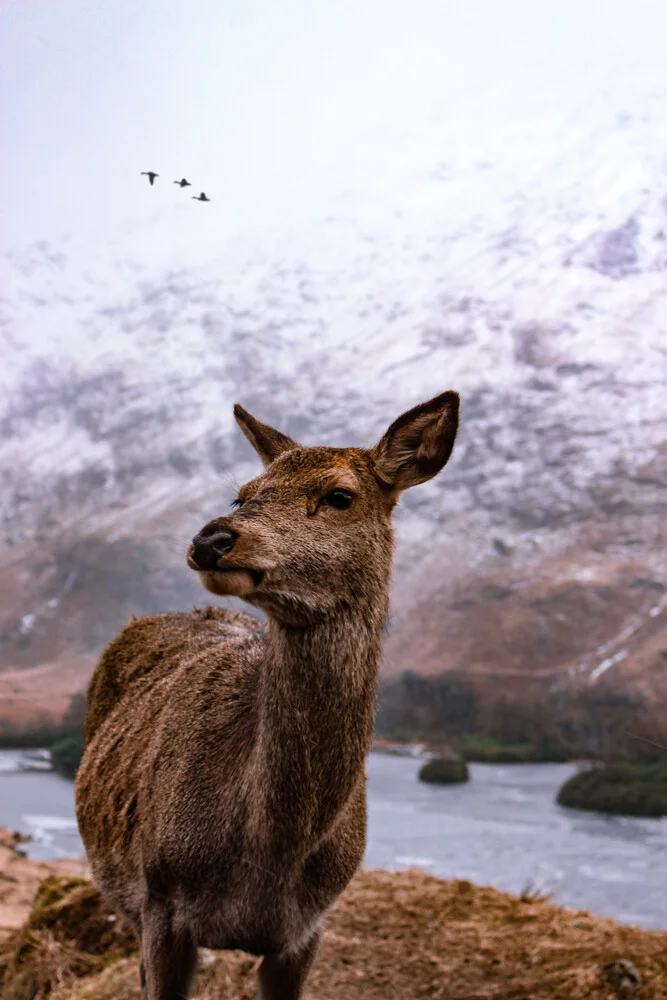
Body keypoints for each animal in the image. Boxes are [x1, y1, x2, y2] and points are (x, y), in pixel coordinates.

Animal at [74, 392, 460, 1000]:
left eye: (340, 495)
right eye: (244, 492)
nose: (211, 539)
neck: (271, 853)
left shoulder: (306, 930)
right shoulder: (161, 902)